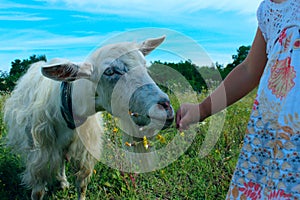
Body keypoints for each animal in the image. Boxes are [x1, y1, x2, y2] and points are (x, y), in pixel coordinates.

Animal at [4, 36, 173, 200]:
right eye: (109, 71)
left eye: (145, 66)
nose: (165, 108)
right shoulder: (39, 158)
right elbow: (38, 192)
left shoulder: (85, 152)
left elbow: (82, 185)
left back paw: (63, 182)